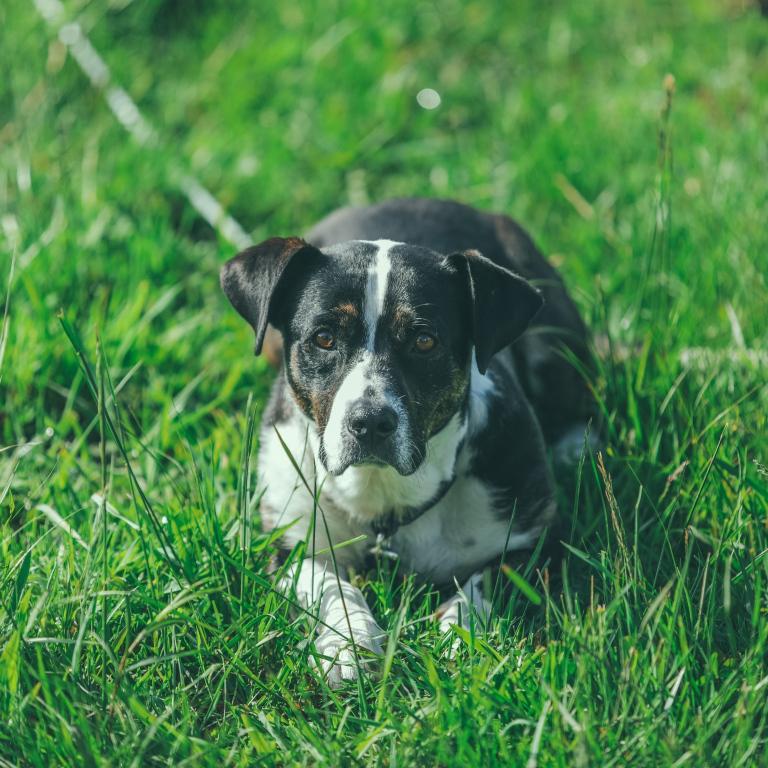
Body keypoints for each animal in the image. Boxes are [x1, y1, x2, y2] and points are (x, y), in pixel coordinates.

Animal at [219, 196, 592, 684]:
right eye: (324, 338)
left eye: (424, 340)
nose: (369, 422)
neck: (385, 497)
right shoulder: (293, 541)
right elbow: (330, 586)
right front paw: (349, 644)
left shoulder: (538, 542)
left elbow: (487, 580)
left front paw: (460, 632)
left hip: (552, 333)